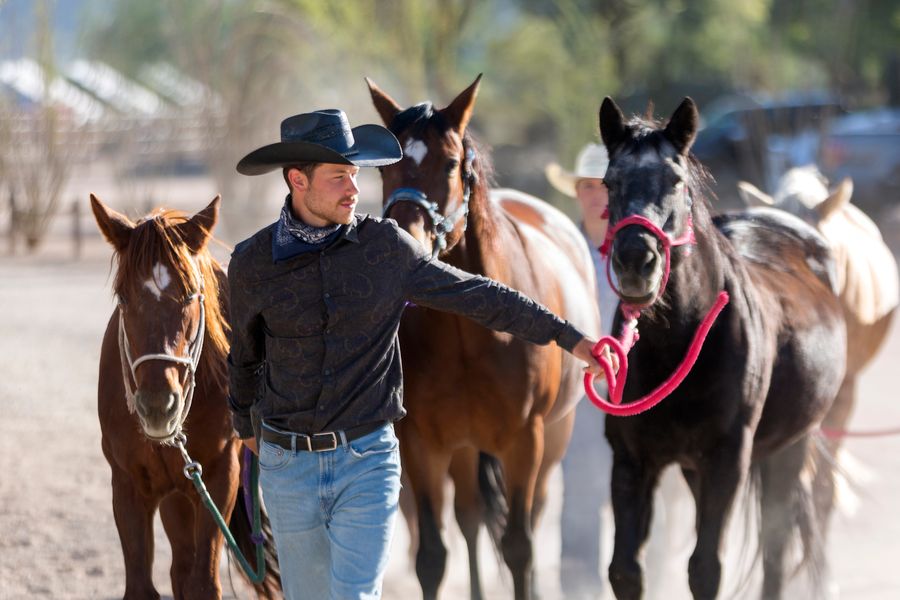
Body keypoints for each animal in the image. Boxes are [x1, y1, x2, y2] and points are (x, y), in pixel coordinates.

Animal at [92, 196, 280, 596]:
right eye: (123, 298)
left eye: (190, 295)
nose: (157, 406)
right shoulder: (127, 487)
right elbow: (141, 587)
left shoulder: (219, 479)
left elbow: (204, 583)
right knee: (179, 568)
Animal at [370, 76, 600, 600]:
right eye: (385, 168)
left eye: (451, 163)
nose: (403, 239)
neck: (469, 331)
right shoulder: (423, 444)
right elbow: (433, 556)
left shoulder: (524, 442)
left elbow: (519, 547)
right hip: (464, 448)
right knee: (470, 519)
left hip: (550, 444)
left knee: (529, 518)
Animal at [596, 99, 844, 600]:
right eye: (609, 182)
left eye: (675, 181)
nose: (635, 261)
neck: (679, 346)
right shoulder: (632, 460)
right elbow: (625, 570)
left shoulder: (727, 459)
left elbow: (705, 568)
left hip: (790, 447)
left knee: (776, 551)